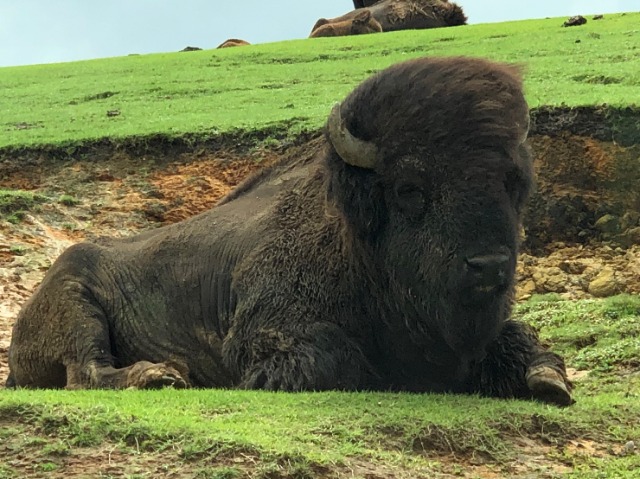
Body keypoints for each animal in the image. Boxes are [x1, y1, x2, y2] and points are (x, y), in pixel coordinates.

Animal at [6, 57, 568, 408]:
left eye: (513, 182)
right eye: (411, 187)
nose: (488, 266)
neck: (355, 243)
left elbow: (524, 342)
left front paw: (549, 381)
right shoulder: (269, 335)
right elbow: (334, 361)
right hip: (77, 307)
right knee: (87, 372)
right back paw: (158, 376)